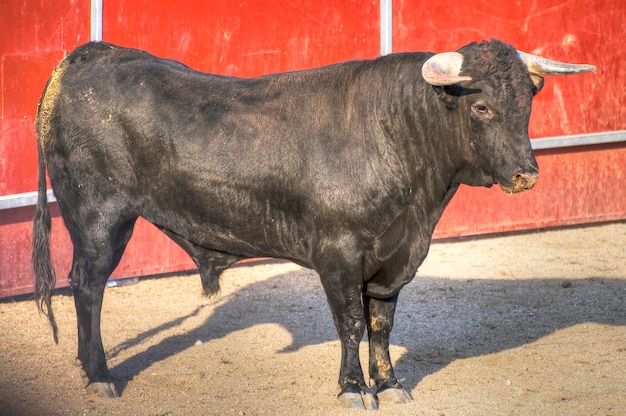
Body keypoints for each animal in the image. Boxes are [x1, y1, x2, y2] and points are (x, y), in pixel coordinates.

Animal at [31, 39, 592, 410]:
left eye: (528, 102)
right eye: (480, 106)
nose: (526, 174)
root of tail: (86, 56)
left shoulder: (394, 259)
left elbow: (381, 324)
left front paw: (391, 385)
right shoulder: (338, 256)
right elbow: (349, 323)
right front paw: (353, 389)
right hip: (98, 216)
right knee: (87, 285)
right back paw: (99, 375)